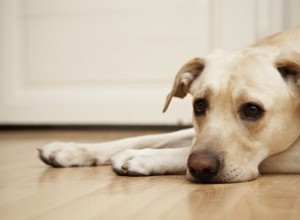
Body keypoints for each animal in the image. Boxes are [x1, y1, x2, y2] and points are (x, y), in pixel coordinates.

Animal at [38, 26, 298, 183]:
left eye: (252, 110)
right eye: (199, 106)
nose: (200, 167)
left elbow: (181, 151)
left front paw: (140, 158)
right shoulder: (195, 133)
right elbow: (146, 138)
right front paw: (70, 149)